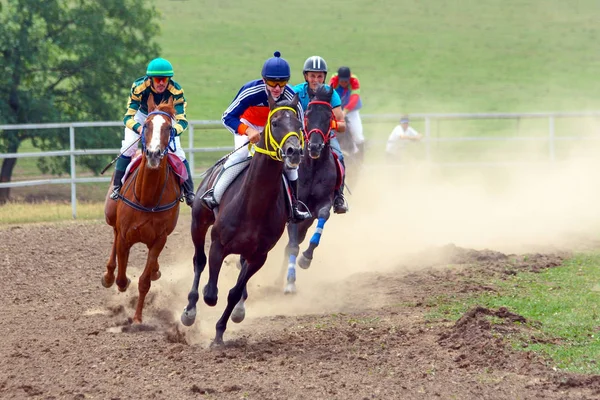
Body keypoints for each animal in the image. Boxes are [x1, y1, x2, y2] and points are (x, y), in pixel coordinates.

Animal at [103, 97, 180, 324]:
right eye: (146, 125)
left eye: (168, 128)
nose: (153, 153)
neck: (147, 199)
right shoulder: (125, 236)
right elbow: (121, 278)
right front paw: (118, 280)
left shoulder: (159, 239)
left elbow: (145, 281)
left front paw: (137, 318)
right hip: (111, 216)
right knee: (113, 237)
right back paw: (108, 275)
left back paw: (155, 271)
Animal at [179, 92, 304, 346]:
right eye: (275, 123)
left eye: (298, 124)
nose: (294, 152)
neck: (254, 206)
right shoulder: (218, 244)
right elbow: (211, 293)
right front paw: (199, 310)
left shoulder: (259, 256)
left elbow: (234, 292)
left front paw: (219, 333)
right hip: (198, 222)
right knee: (199, 261)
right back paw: (189, 310)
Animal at [280, 86, 338, 294]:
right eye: (308, 114)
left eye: (329, 116)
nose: (314, 146)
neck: (312, 168)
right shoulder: (296, 208)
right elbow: (292, 246)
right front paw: (290, 281)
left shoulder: (324, 203)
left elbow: (322, 218)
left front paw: (306, 258)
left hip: (306, 222)